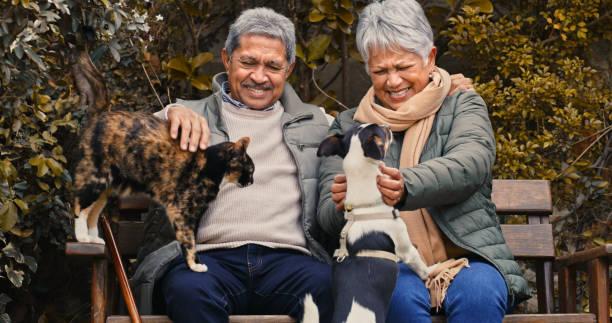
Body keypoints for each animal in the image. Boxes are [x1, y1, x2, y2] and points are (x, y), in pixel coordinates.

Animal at [73, 110, 255, 270]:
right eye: (251, 170)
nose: (252, 181)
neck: (210, 165)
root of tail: (93, 123)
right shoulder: (183, 212)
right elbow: (189, 240)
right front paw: (194, 265)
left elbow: (192, 239)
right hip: (97, 178)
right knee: (78, 205)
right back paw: (81, 236)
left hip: (106, 189)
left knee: (93, 212)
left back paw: (93, 238)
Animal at [304, 124, 432, 323]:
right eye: (382, 132)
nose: (387, 125)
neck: (364, 208)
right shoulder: (405, 246)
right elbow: (419, 264)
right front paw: (431, 273)